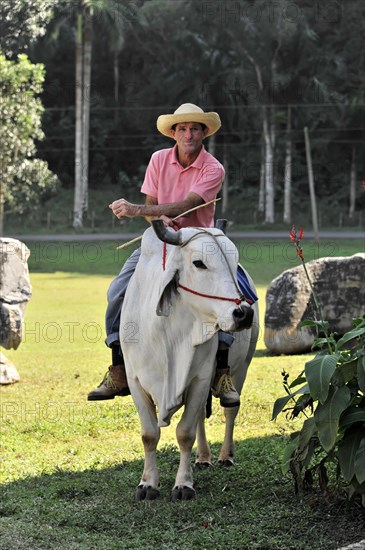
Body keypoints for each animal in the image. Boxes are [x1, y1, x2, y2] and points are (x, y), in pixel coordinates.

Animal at [118, 219, 258, 500]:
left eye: (235, 260)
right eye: (199, 263)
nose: (243, 313)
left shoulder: (201, 378)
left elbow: (184, 433)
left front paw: (183, 485)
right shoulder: (135, 380)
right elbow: (149, 435)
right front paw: (147, 485)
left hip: (242, 368)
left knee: (230, 410)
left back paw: (225, 455)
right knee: (201, 418)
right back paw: (203, 457)